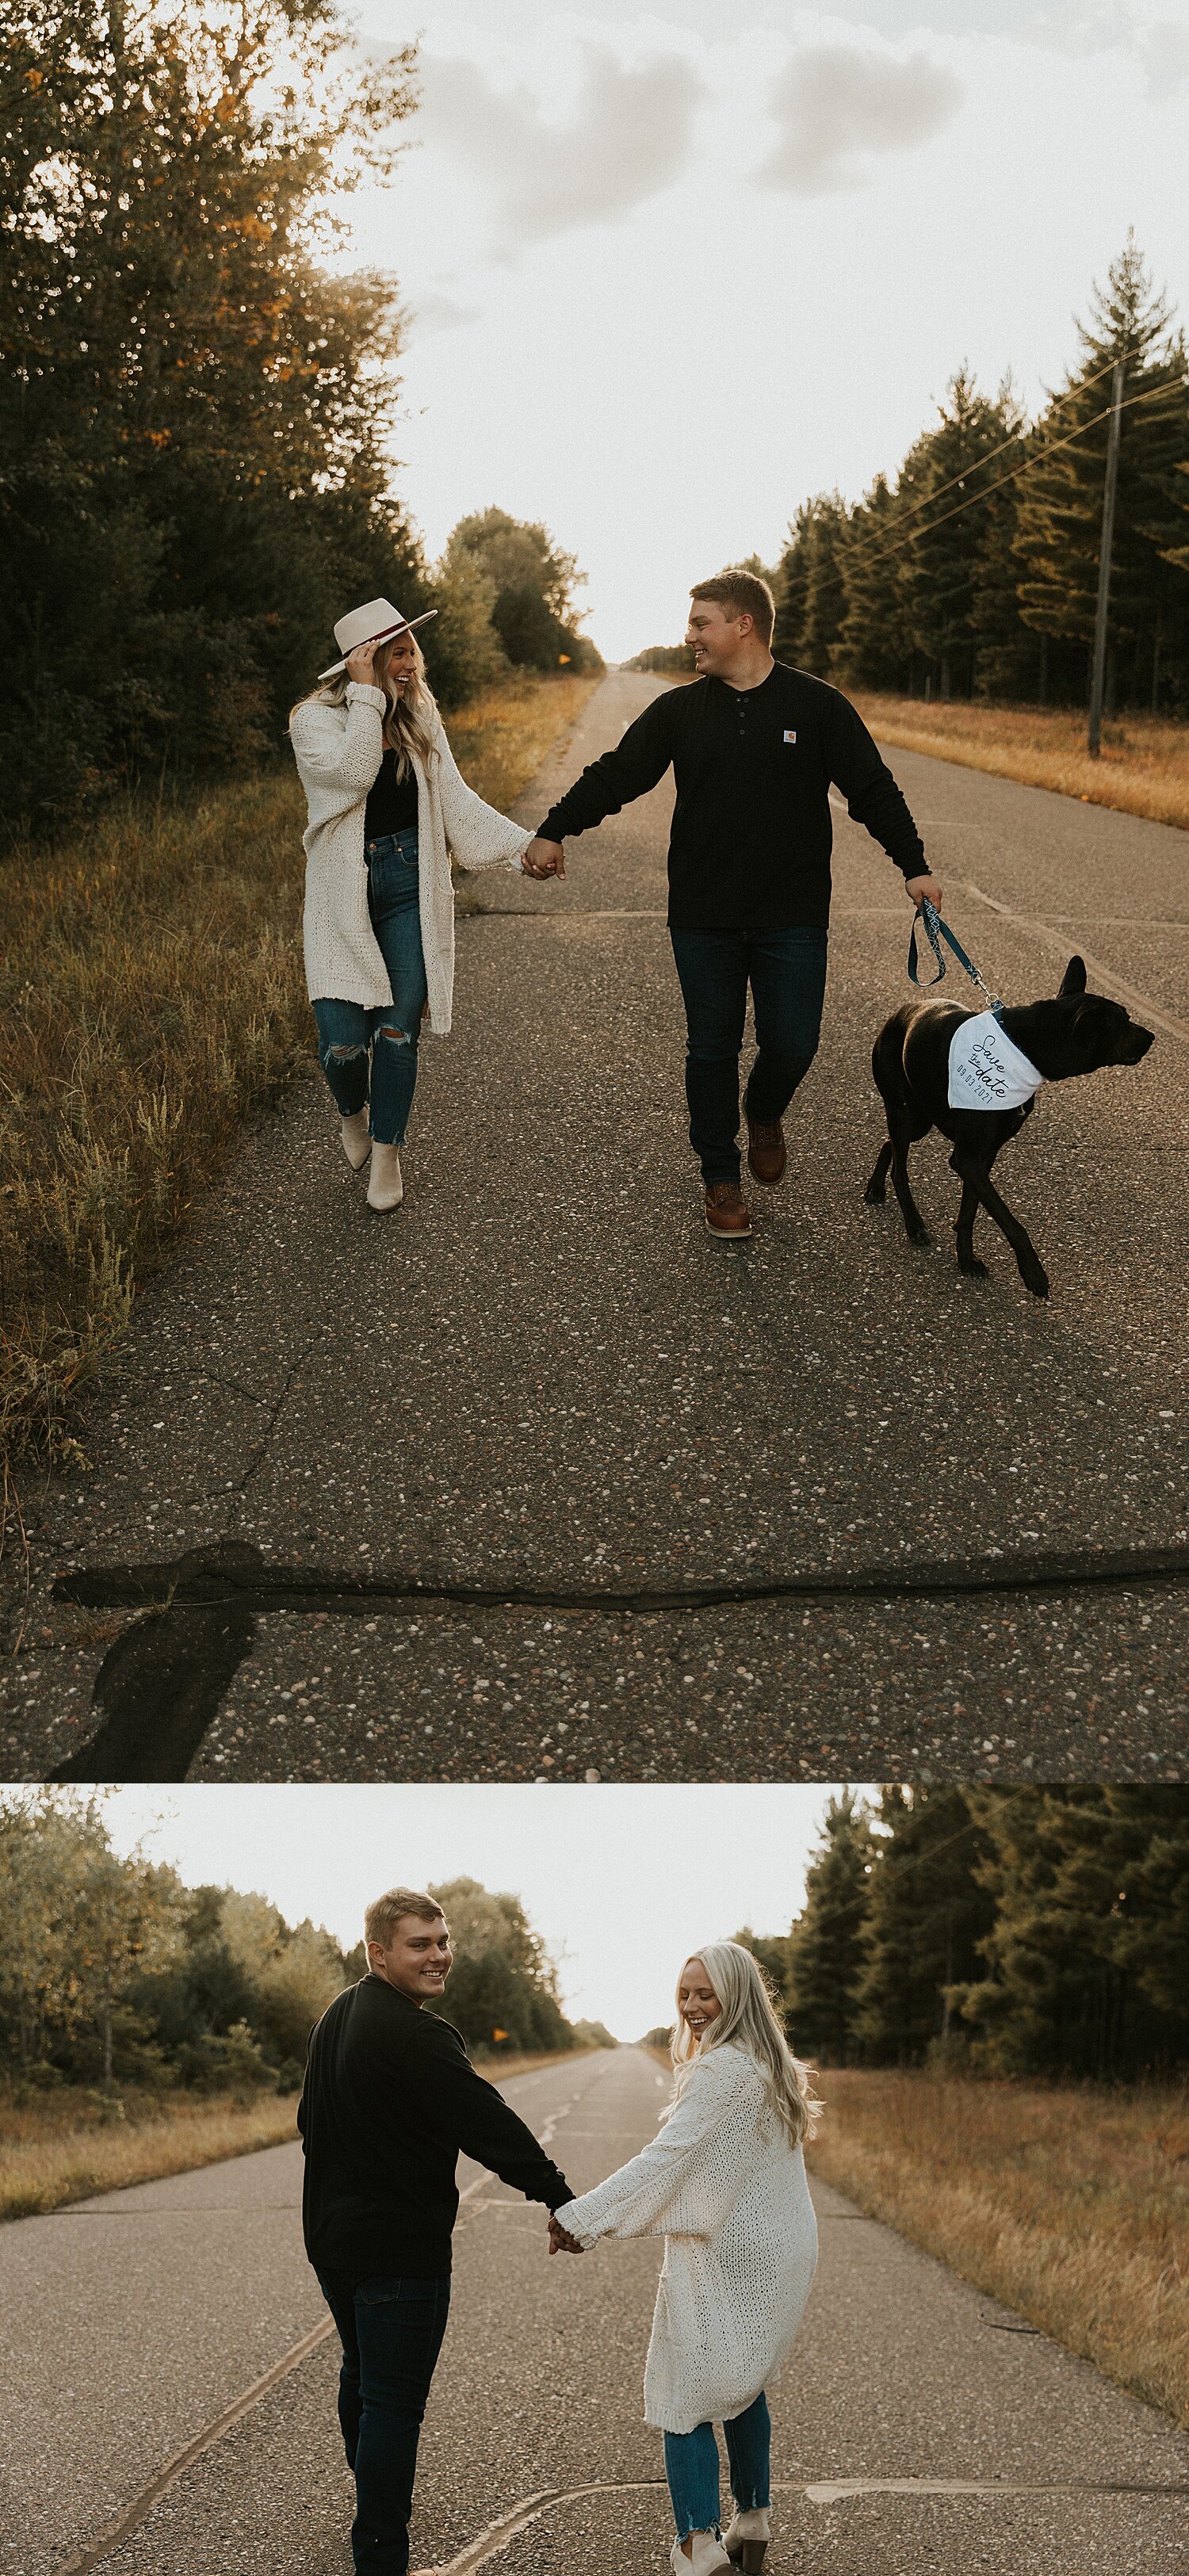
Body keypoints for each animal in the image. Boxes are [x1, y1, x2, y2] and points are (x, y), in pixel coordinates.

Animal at [870, 958, 1158, 1298]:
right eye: (1123, 1022)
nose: (1152, 1037)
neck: (1025, 1047)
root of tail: (899, 1012)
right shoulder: (968, 1159)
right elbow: (1011, 1223)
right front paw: (1034, 1273)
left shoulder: (984, 1156)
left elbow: (970, 1212)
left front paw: (965, 1259)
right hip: (905, 1111)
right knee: (900, 1167)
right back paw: (913, 1224)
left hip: (921, 1118)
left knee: (889, 1142)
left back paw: (875, 1187)